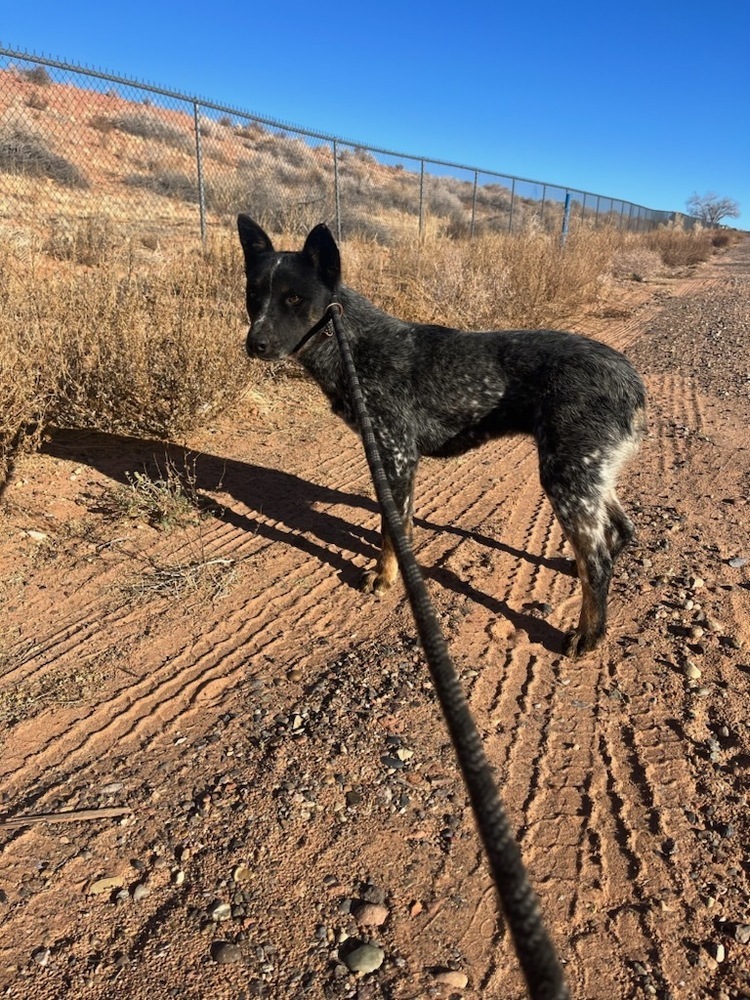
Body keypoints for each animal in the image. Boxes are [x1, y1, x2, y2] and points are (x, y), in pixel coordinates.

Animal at [238, 215, 648, 660]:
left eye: (294, 298)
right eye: (253, 294)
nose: (255, 344)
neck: (350, 342)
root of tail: (630, 379)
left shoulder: (397, 456)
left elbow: (390, 530)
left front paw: (384, 578)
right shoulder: (389, 459)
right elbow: (398, 527)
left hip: (565, 478)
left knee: (598, 562)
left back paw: (590, 632)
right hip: (588, 474)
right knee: (619, 530)